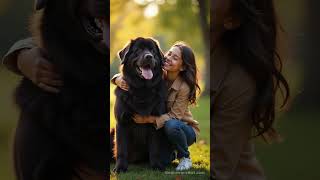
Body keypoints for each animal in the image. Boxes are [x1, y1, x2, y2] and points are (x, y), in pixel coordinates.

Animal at [111, 37, 174, 172]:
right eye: (138, 50)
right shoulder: (121, 122)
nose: (149, 56)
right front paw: (120, 167)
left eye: (152, 51)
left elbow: (155, 148)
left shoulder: (155, 122)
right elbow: (121, 149)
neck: (142, 90)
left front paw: (156, 166)